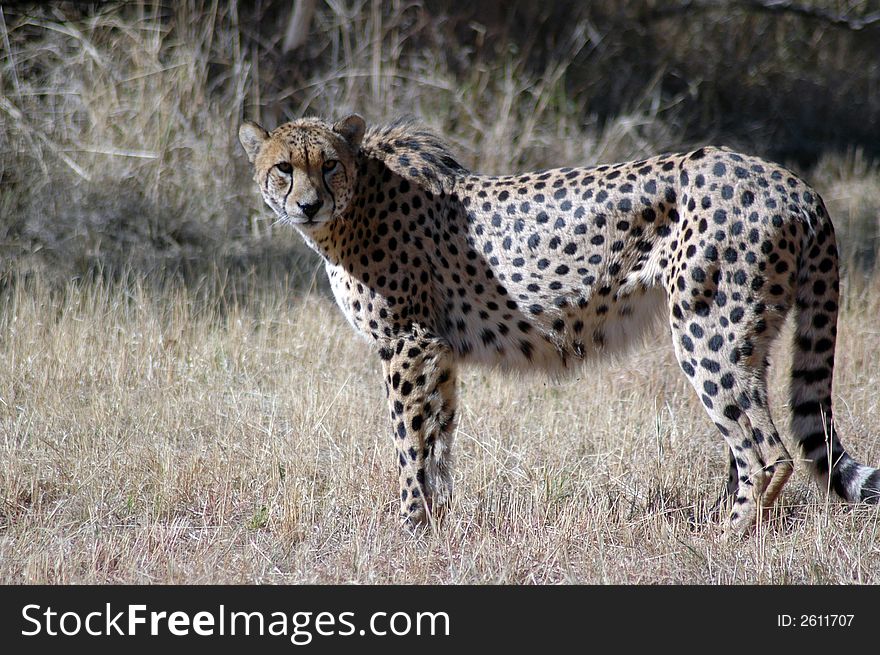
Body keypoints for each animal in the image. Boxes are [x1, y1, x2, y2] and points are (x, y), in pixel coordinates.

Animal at [237, 114, 876, 532]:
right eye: (284, 169)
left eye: (329, 166)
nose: (307, 204)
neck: (356, 204)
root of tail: (787, 179)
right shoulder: (436, 352)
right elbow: (438, 441)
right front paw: (438, 525)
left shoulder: (409, 345)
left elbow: (410, 443)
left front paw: (409, 529)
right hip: (747, 337)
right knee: (747, 440)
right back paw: (722, 517)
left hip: (706, 332)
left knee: (767, 451)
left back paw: (728, 536)